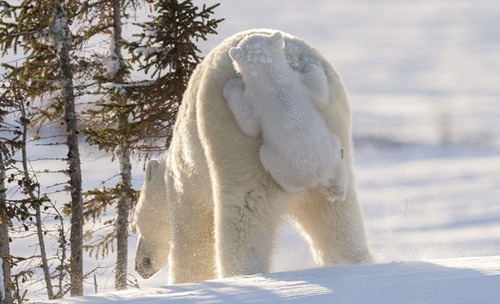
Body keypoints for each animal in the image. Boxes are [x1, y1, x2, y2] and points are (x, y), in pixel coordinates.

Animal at [134, 29, 372, 284]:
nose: (140, 266)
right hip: (334, 126)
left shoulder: (186, 184)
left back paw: (242, 274)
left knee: (243, 215)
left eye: (135, 222)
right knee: (337, 216)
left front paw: (188, 281)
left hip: (233, 143)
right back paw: (352, 262)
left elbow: (192, 241)